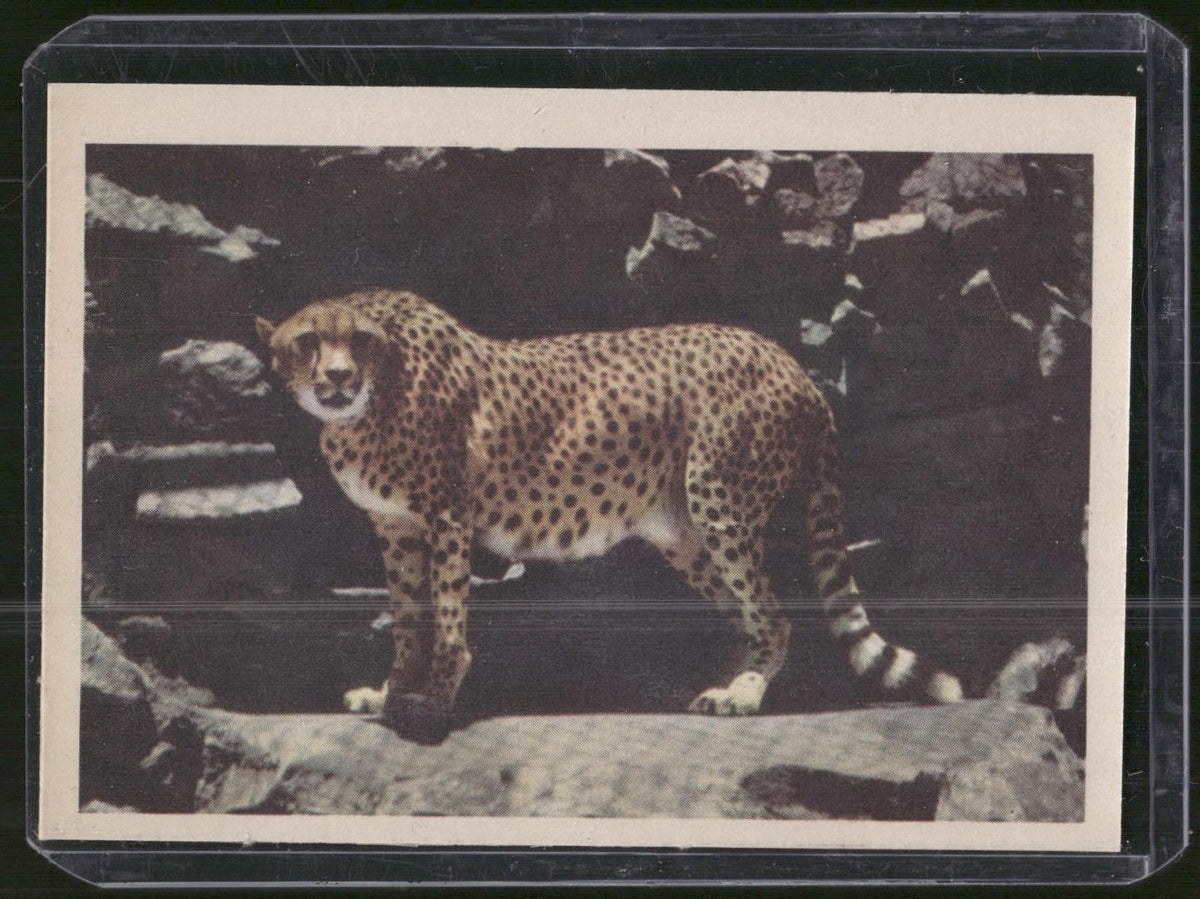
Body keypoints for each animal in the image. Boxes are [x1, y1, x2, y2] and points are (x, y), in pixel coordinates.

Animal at [257, 289, 963, 742]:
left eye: (358, 342)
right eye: (309, 341)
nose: (338, 376)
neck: (369, 404)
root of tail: (786, 357)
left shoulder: (447, 520)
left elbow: (448, 618)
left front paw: (432, 700)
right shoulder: (398, 529)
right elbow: (407, 619)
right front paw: (391, 692)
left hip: (720, 500)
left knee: (773, 610)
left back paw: (744, 693)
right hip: (683, 531)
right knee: (748, 611)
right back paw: (721, 683)